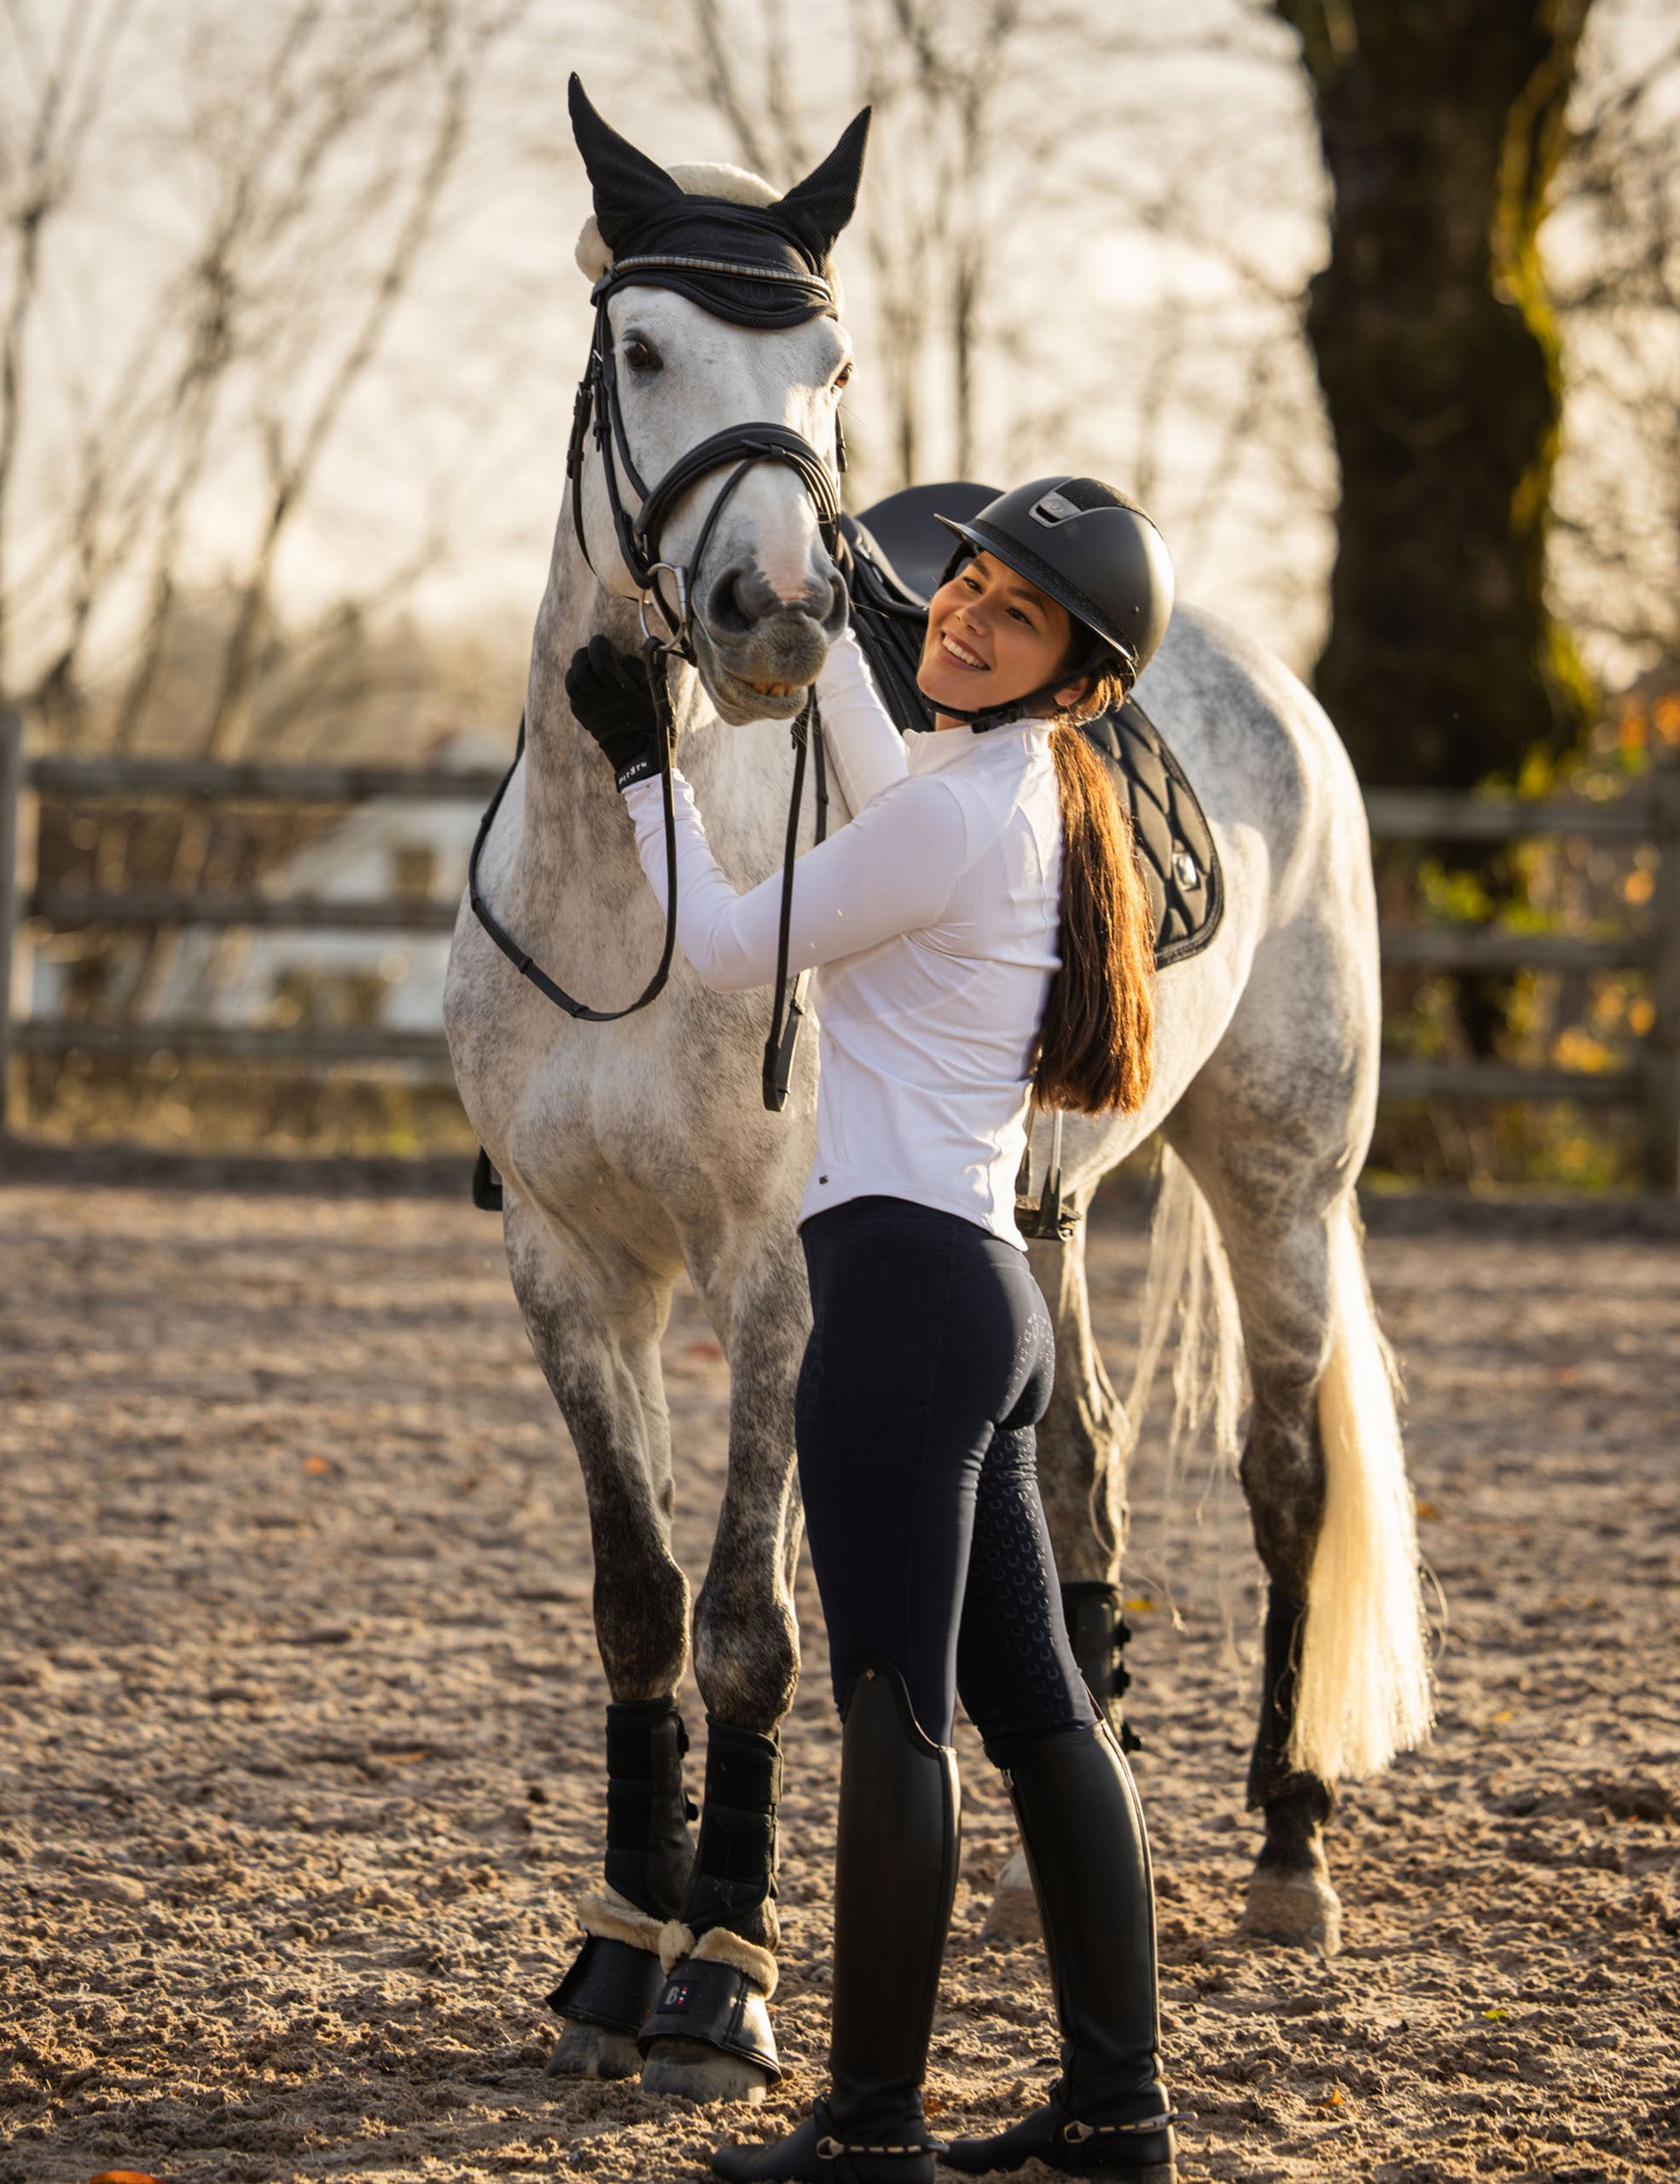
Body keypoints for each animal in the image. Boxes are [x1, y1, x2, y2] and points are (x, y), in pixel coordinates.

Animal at [444, 82, 1432, 2107]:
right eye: (637, 348)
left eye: (827, 370)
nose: (766, 617)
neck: (641, 885)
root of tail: (1261, 673)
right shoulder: (570, 1273)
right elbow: (635, 1604)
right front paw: (613, 1950)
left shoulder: (770, 1283)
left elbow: (746, 1627)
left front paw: (720, 1979)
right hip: (1038, 1205)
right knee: (1077, 1460)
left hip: (1281, 1183)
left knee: (1284, 1476)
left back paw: (1289, 1846)